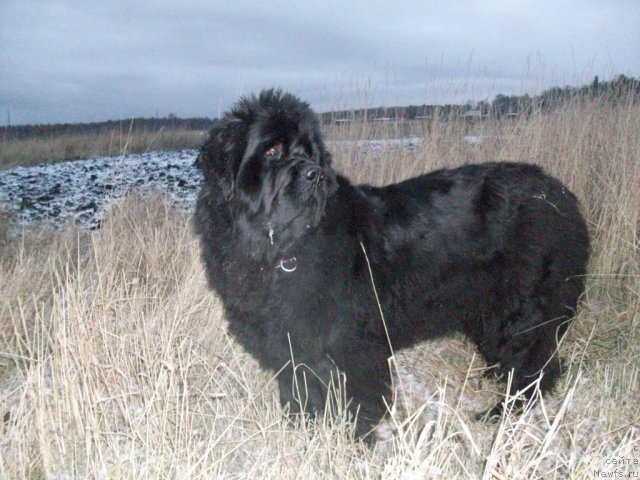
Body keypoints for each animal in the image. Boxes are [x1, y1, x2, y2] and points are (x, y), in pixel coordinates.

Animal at [194, 88, 592, 440]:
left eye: (310, 153)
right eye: (273, 151)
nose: (314, 175)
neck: (277, 250)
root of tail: (563, 196)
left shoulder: (353, 343)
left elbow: (357, 396)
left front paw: (353, 441)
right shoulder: (288, 340)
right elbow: (299, 391)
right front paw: (300, 429)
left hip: (519, 312)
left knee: (534, 366)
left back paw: (501, 411)